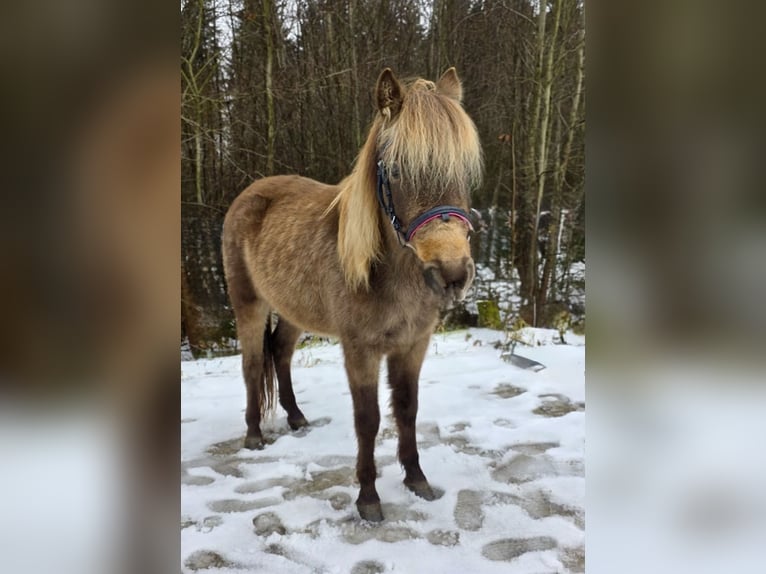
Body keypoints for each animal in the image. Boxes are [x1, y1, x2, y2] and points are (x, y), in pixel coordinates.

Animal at [222, 68, 482, 522]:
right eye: (395, 171)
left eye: (463, 172)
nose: (451, 274)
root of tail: (249, 195)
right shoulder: (360, 349)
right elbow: (369, 419)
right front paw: (368, 498)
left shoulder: (413, 345)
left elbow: (407, 409)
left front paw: (417, 480)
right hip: (249, 305)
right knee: (254, 363)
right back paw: (254, 435)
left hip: (293, 311)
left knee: (281, 353)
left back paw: (296, 418)